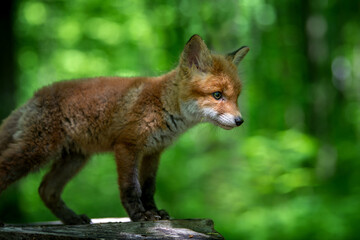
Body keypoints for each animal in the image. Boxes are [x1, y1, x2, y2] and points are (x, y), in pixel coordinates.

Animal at [0, 34, 248, 224]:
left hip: (74, 159)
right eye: (217, 95)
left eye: (236, 97)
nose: (240, 121)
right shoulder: (127, 146)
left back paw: (72, 219)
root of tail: (35, 95)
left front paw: (154, 212)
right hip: (37, 151)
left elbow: (148, 188)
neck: (163, 106)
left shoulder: (153, 152)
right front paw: (139, 216)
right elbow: (131, 188)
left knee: (46, 190)